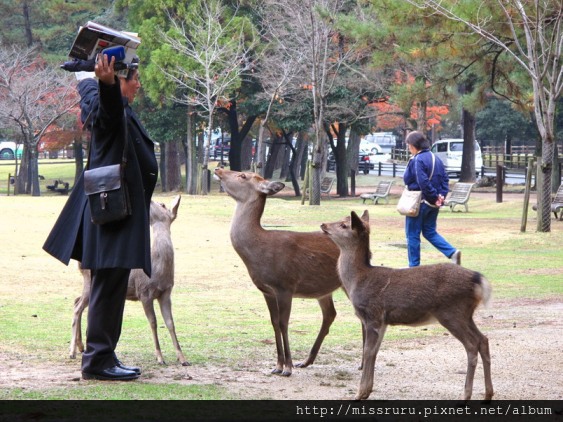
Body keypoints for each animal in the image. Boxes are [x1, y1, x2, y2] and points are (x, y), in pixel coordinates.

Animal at [69, 196, 189, 368]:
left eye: (162, 204)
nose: (150, 199)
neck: (158, 270)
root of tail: (80, 263)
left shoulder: (166, 293)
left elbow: (170, 322)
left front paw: (182, 358)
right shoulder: (144, 292)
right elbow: (153, 322)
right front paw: (160, 357)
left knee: (76, 301)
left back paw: (81, 346)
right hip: (89, 283)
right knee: (77, 308)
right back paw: (72, 351)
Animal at [214, 168, 342, 376]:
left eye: (243, 175)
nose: (218, 169)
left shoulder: (285, 286)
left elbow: (284, 323)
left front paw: (288, 367)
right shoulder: (267, 290)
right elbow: (274, 322)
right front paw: (277, 365)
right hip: (323, 291)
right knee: (330, 314)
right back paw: (306, 361)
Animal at [322, 211, 494, 402]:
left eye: (344, 225)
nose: (323, 225)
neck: (358, 280)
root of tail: (478, 280)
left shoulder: (372, 315)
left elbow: (367, 351)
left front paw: (359, 393)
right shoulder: (383, 321)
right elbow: (375, 351)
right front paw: (367, 391)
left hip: (451, 312)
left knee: (471, 345)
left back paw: (466, 395)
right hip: (466, 314)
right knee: (483, 339)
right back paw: (488, 394)